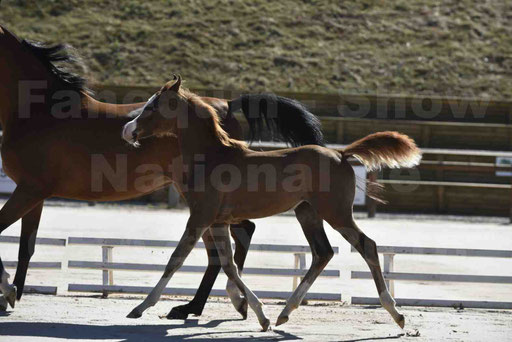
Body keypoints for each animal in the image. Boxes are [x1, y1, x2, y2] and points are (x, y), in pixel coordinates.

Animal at [0, 25, 324, 320]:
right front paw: (12, 293)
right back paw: (220, 304)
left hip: (204, 202)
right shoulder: (34, 194)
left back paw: (204, 305)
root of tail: (227, 104)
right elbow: (25, 247)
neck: (38, 111)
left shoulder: (29, 189)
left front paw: (8, 291)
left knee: (232, 240)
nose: (129, 131)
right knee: (231, 242)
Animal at [123, 76, 420, 332]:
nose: (127, 130)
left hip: (336, 214)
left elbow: (176, 259)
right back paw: (284, 313)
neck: (212, 157)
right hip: (308, 213)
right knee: (322, 253)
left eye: (152, 106)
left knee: (366, 246)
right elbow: (229, 265)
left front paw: (141, 307)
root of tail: (341, 154)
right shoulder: (217, 221)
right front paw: (259, 314)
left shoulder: (200, 218)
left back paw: (396, 313)